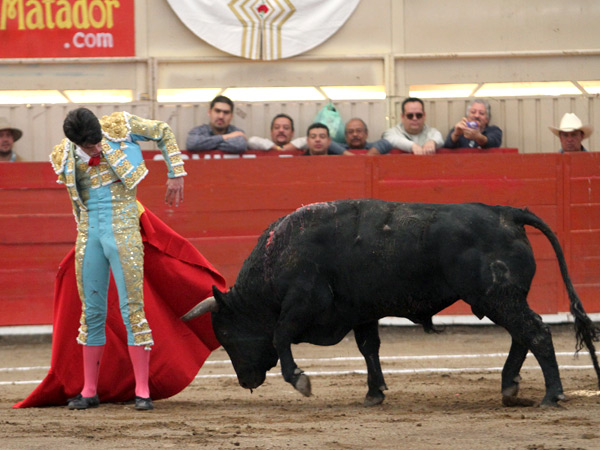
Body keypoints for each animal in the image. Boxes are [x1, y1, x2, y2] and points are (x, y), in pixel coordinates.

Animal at [183, 200, 600, 408]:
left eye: (226, 335)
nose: (245, 382)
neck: (277, 257)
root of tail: (508, 213)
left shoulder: (302, 302)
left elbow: (281, 335)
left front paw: (300, 380)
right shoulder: (360, 311)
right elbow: (369, 348)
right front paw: (374, 393)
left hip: (497, 296)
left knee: (536, 332)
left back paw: (551, 396)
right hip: (502, 297)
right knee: (522, 334)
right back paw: (510, 386)